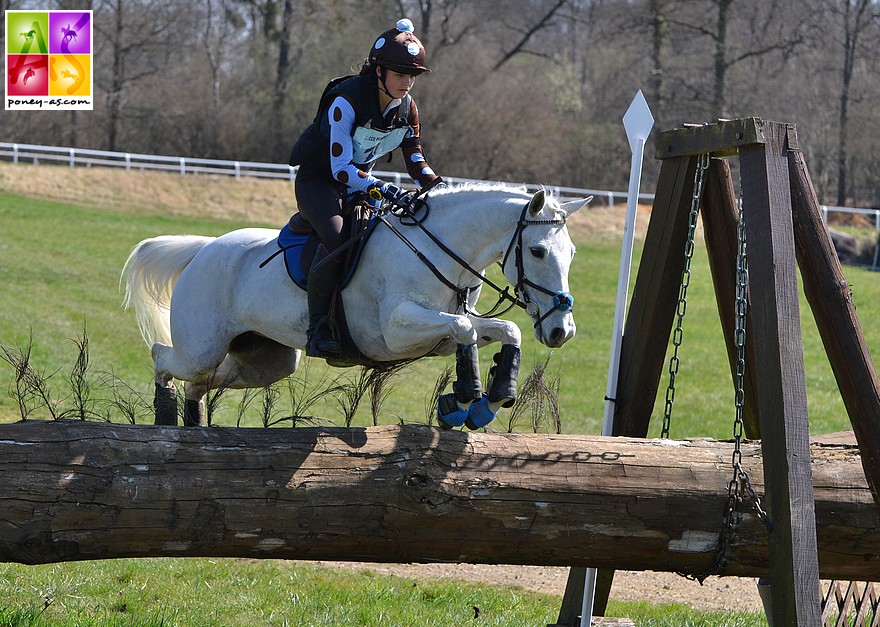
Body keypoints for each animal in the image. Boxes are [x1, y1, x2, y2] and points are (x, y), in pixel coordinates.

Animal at [120, 186, 588, 430]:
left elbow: (502, 330)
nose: (561, 331)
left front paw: (486, 400)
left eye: (572, 253)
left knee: (201, 382)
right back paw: (165, 413)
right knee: (164, 357)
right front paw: (466, 399)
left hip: (266, 362)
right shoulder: (395, 332)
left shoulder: (440, 332)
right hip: (202, 346)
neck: (440, 251)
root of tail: (203, 250)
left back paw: (193, 420)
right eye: (538, 251)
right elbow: (466, 331)